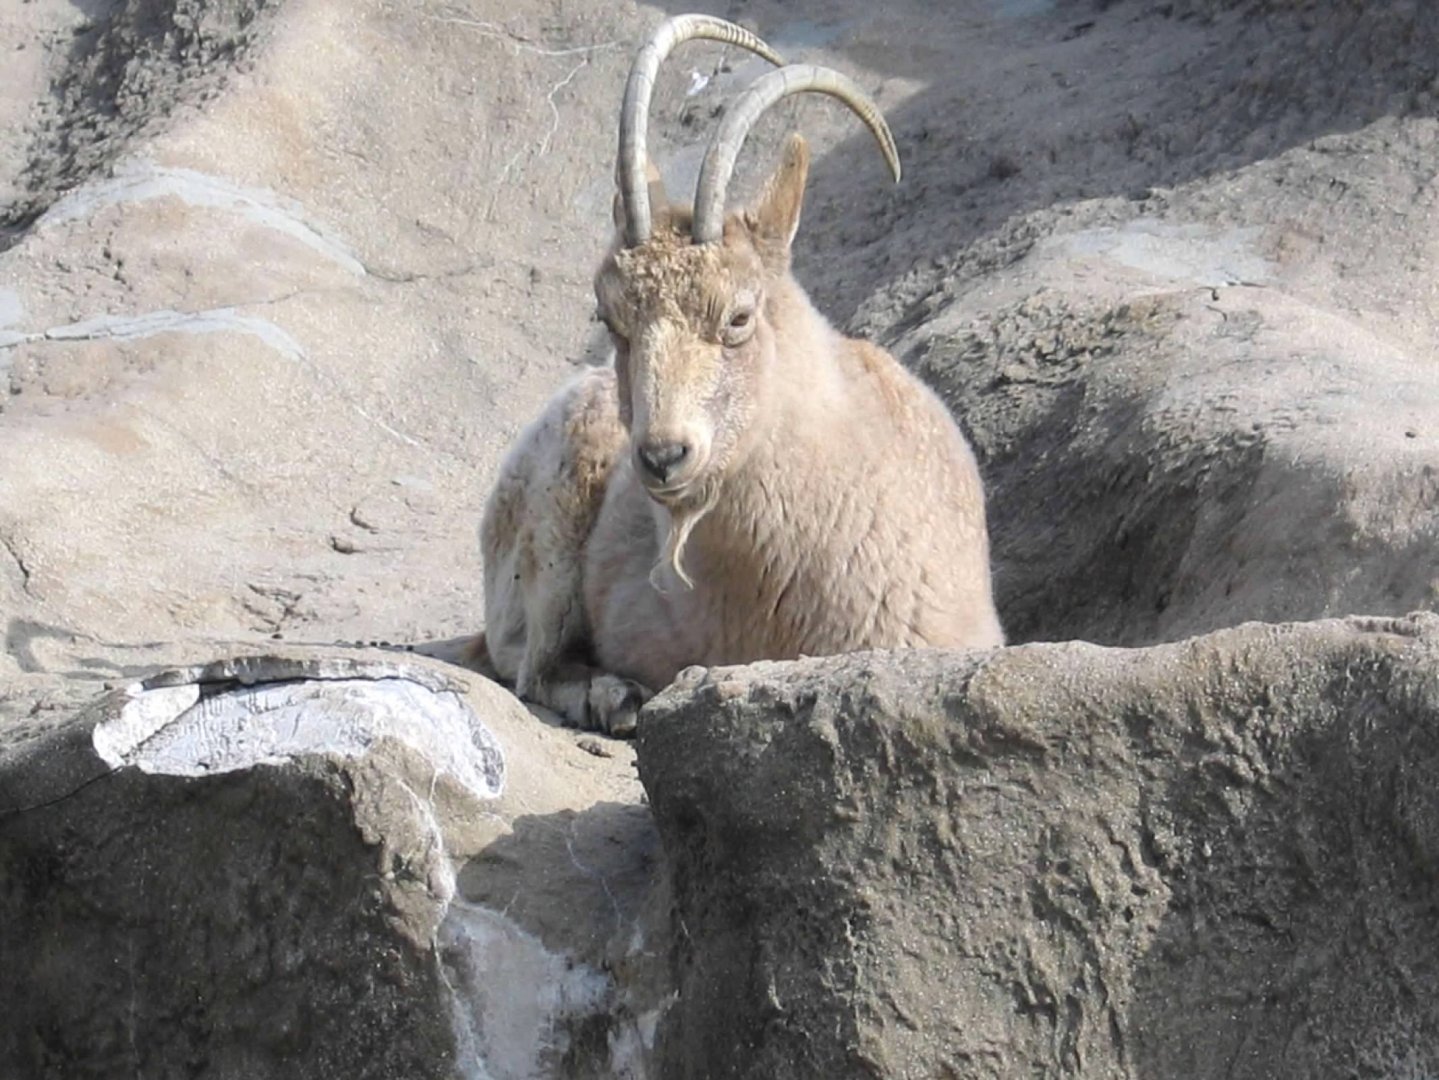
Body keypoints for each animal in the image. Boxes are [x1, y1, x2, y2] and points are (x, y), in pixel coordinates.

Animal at [476, 15, 1004, 734]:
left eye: (738, 316)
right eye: (609, 316)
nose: (663, 457)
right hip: (554, 519)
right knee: (531, 664)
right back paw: (615, 698)